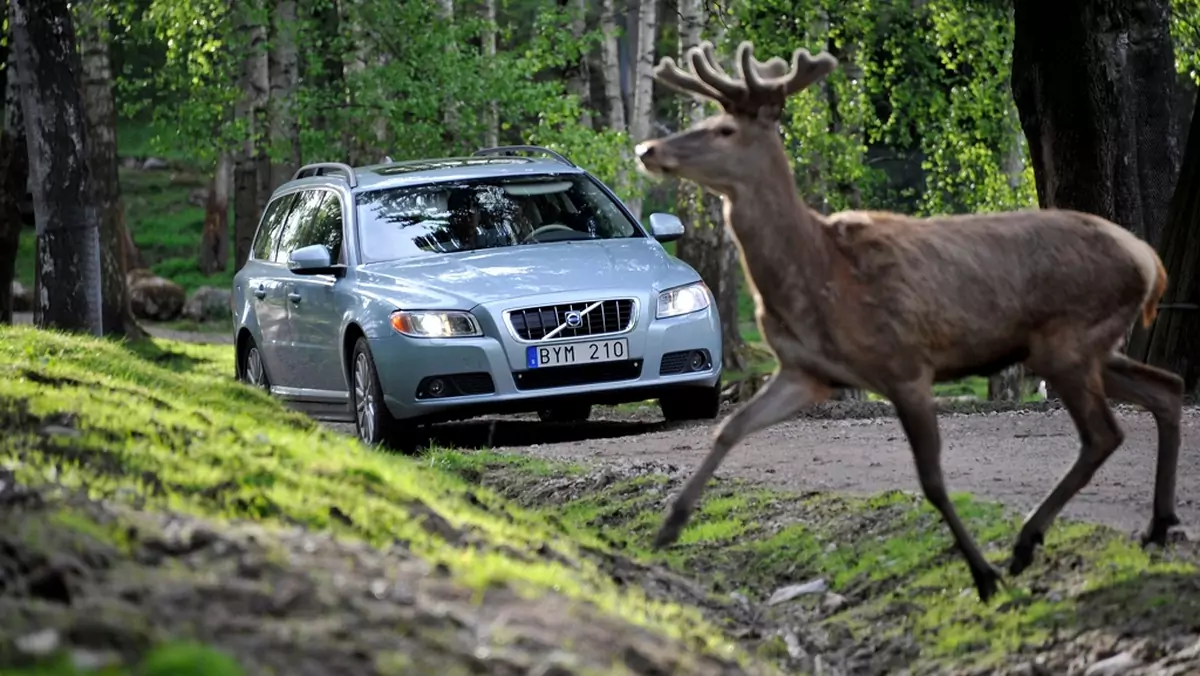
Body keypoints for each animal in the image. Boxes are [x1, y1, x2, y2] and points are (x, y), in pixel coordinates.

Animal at [633, 41, 1185, 602]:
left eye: (725, 130)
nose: (647, 150)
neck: (819, 274)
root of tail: (1149, 261)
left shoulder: (904, 364)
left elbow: (932, 479)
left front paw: (982, 575)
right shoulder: (806, 371)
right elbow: (729, 428)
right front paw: (669, 526)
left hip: (1069, 340)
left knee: (1104, 433)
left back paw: (1028, 543)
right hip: (1083, 347)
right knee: (1167, 387)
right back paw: (1154, 526)